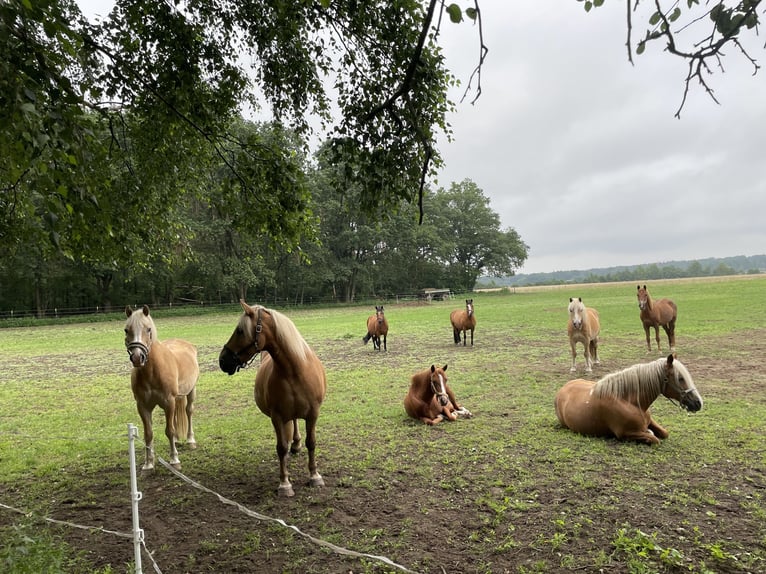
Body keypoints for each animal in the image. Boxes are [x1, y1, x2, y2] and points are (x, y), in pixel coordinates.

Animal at [124, 306, 200, 472]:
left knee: (189, 411)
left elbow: (169, 430)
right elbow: (148, 434)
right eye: (126, 330)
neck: (152, 371)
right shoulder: (142, 406)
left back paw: (191, 440)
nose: (137, 357)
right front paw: (148, 464)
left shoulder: (168, 402)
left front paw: (174, 460)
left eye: (148, 329)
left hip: (191, 391)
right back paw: (178, 440)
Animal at [219, 302, 328, 500]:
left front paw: (315, 476)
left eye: (240, 331)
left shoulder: (313, 414)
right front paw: (285, 484)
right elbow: (281, 447)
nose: (223, 360)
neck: (295, 371)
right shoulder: (277, 417)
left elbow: (311, 442)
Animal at [556, 356, 704, 446]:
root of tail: (563, 388)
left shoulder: (650, 421)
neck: (629, 402)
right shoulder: (626, 433)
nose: (698, 403)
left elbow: (664, 433)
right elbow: (654, 438)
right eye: (680, 378)